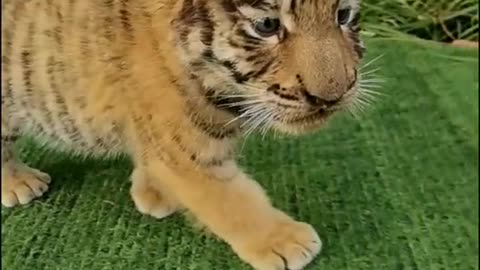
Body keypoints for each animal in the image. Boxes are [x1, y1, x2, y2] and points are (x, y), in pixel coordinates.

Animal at [1, 0, 366, 268]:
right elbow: (233, 201)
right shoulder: (187, 153)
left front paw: (153, 194)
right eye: (266, 25)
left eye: (343, 15)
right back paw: (19, 183)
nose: (332, 97)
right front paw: (284, 241)